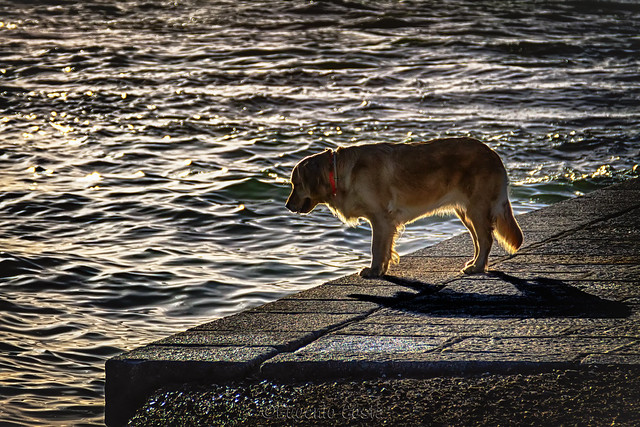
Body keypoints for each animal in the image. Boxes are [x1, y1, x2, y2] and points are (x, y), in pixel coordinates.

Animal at [286, 136, 524, 278]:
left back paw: (478, 267)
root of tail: (494, 154)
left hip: (476, 208)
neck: (339, 172)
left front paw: (373, 270)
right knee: (479, 240)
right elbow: (384, 249)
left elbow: (376, 248)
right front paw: (381, 270)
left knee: (486, 239)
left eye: (296, 184)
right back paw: (474, 263)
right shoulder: (384, 222)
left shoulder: (381, 218)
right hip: (466, 212)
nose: (287, 205)